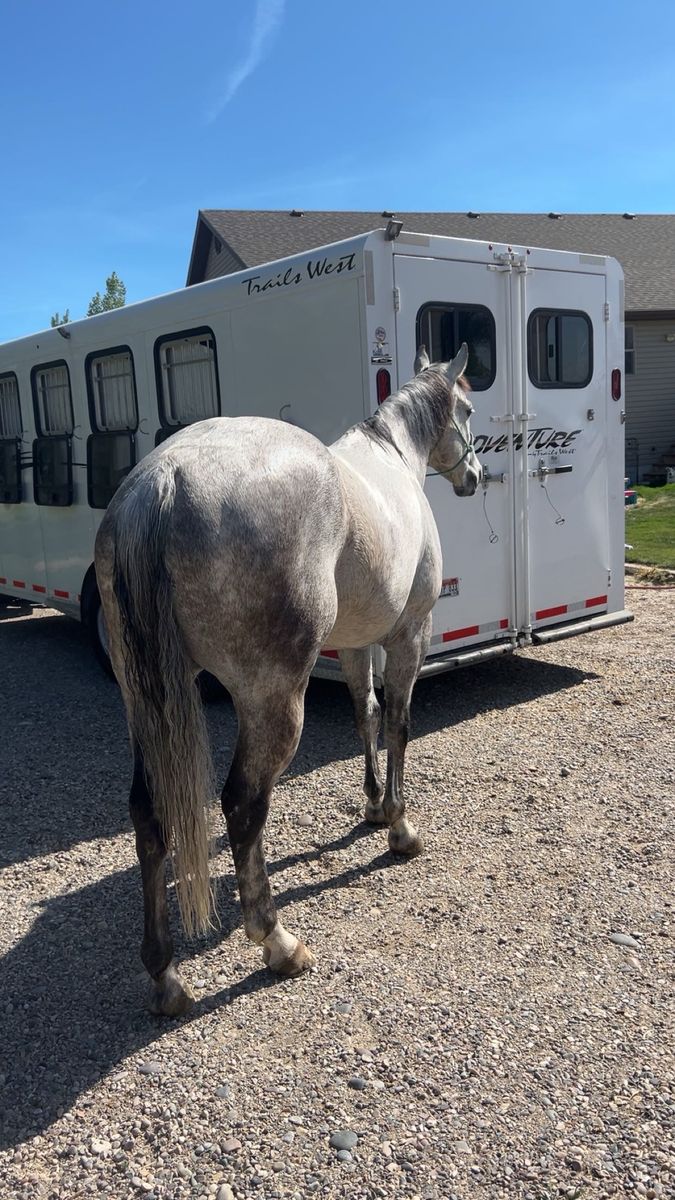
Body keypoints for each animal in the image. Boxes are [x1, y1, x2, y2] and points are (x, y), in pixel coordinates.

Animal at [94, 342, 482, 1016]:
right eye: (467, 410)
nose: (475, 477)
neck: (392, 460)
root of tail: (160, 481)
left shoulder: (354, 645)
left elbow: (364, 715)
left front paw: (373, 807)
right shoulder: (410, 635)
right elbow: (399, 723)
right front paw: (399, 826)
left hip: (147, 705)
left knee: (148, 813)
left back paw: (166, 975)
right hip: (272, 701)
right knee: (242, 805)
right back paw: (277, 943)